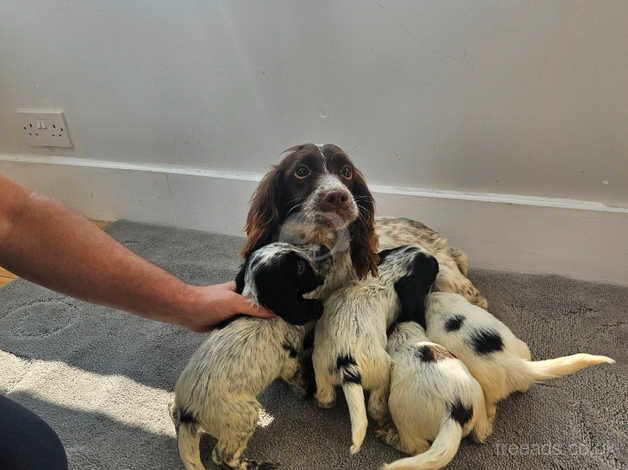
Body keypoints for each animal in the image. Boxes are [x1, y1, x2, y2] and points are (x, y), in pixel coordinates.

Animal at [169, 242, 332, 470]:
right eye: (300, 267)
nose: (324, 247)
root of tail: (187, 414)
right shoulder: (290, 363)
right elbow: (300, 379)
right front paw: (309, 391)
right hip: (246, 415)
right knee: (222, 456)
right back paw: (255, 465)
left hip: (184, 407)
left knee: (170, 409)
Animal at [312, 244, 440, 454]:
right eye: (433, 270)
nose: (438, 263)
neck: (385, 275)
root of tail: (346, 361)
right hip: (383, 371)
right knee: (375, 405)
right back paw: (384, 419)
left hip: (321, 367)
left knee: (326, 395)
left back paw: (322, 401)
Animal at [380, 322, 494, 468]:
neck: (406, 340)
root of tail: (453, 413)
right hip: (478, 396)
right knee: (481, 432)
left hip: (398, 409)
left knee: (416, 447)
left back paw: (388, 435)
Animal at [424, 292, 616, 424]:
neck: (438, 304)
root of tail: (513, 363)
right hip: (523, 348)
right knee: (525, 383)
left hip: (488, 388)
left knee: (491, 406)